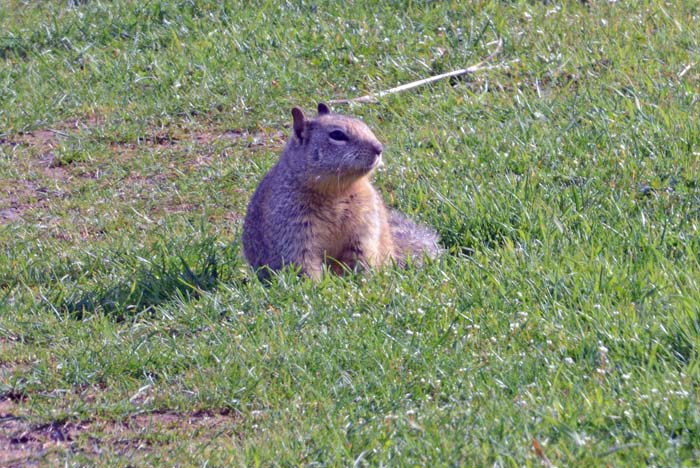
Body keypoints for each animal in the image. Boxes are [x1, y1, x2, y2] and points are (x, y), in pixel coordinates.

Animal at [243, 102, 440, 280]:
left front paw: (362, 280)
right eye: (337, 135)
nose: (379, 148)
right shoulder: (294, 227)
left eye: (364, 125)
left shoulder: (365, 222)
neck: (336, 192)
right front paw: (315, 286)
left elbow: (362, 253)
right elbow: (302, 261)